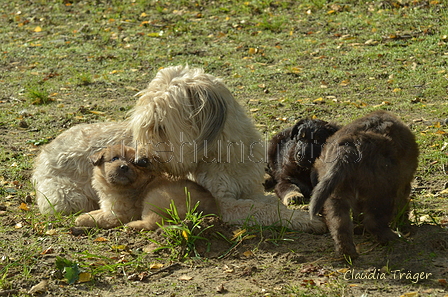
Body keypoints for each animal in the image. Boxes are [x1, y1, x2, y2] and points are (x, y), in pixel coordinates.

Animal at [32, 66, 326, 232]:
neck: (220, 150)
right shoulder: (222, 202)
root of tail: (44, 152)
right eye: (145, 127)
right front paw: (306, 221)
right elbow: (262, 210)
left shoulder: (250, 190)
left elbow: (267, 202)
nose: (141, 161)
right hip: (68, 197)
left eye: (160, 127)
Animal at [310, 110, 418, 258]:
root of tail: (347, 151)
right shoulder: (402, 184)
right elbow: (402, 204)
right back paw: (392, 238)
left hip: (336, 193)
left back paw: (348, 254)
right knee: (373, 222)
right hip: (382, 192)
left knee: (339, 224)